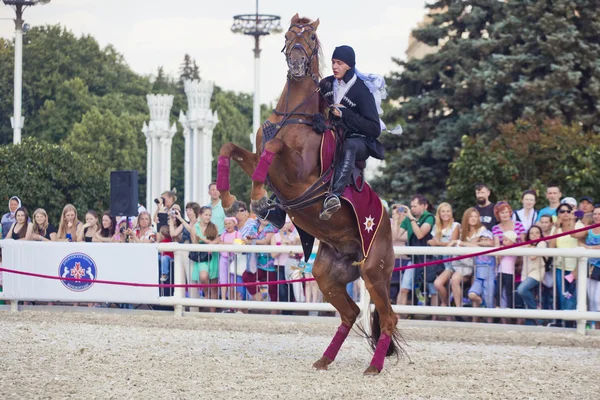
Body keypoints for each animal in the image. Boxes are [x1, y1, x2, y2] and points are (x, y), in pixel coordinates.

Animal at [216, 13, 404, 376]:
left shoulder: (297, 174)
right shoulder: (260, 161)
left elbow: (274, 147)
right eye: (289, 34)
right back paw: (325, 359)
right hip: (327, 274)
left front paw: (259, 199)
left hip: (374, 272)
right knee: (351, 313)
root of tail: (387, 225)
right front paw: (231, 200)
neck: (296, 115)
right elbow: (231, 148)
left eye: (312, 37)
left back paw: (374, 367)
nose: (297, 62)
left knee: (388, 318)